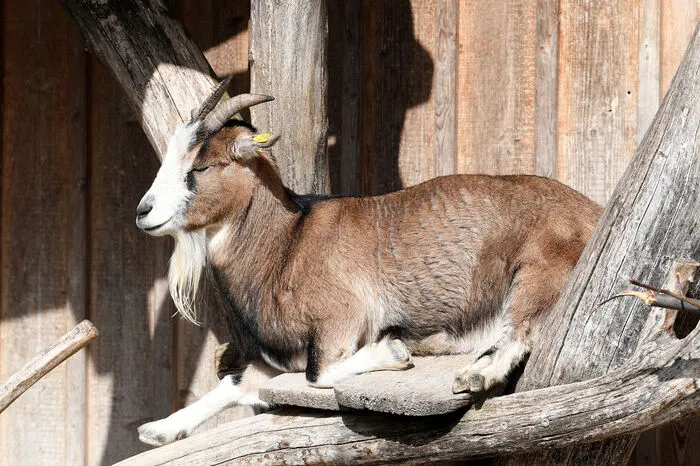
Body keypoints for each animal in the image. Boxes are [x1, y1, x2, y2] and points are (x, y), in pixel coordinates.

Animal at [135, 78, 603, 446]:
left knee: (522, 332)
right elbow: (234, 382)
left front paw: (393, 349)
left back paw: (474, 376)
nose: (144, 212)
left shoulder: (341, 319)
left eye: (201, 166)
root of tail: (592, 210)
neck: (287, 243)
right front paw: (159, 428)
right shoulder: (276, 360)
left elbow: (319, 374)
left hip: (538, 272)